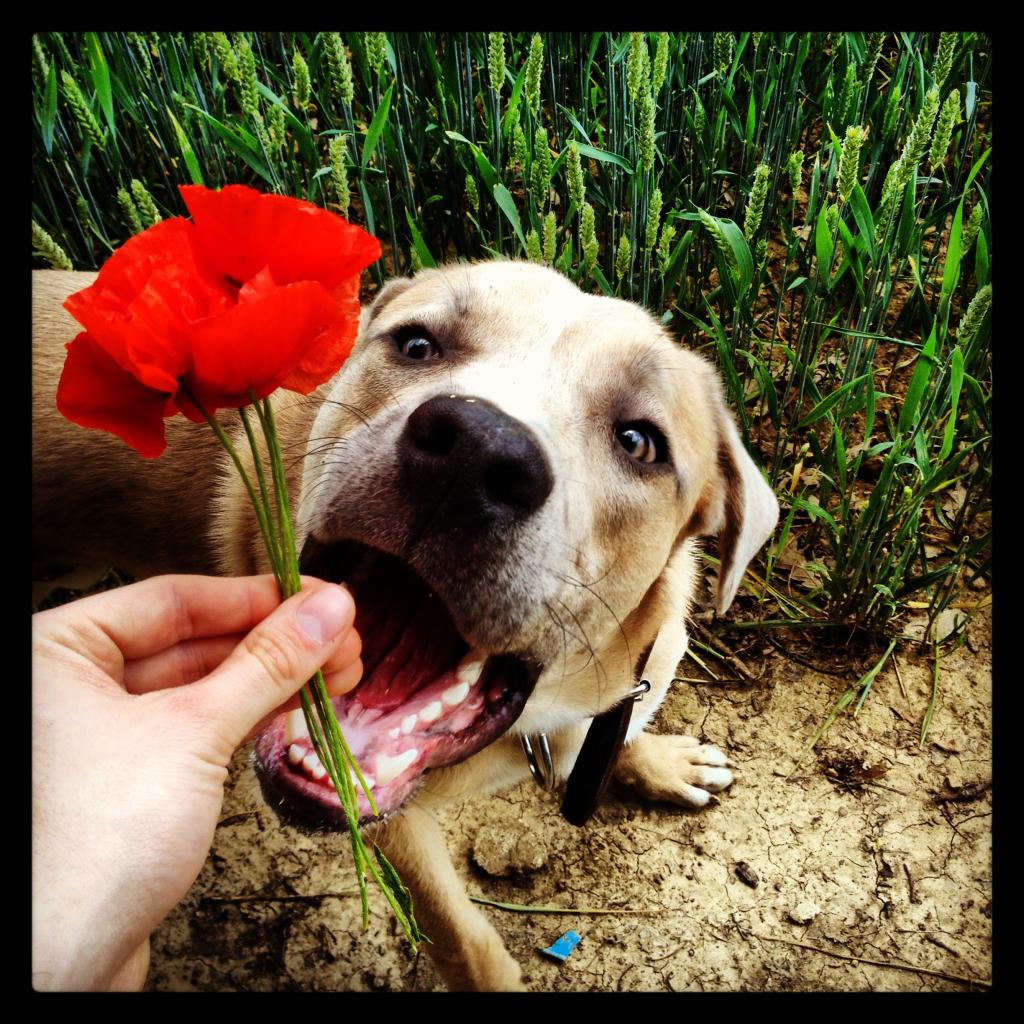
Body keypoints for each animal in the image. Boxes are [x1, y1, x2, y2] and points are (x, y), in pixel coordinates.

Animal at [32, 264, 774, 991]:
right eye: (417, 345)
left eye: (639, 441)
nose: (476, 450)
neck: (545, 713)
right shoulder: (392, 826)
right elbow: (464, 940)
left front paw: (660, 760)